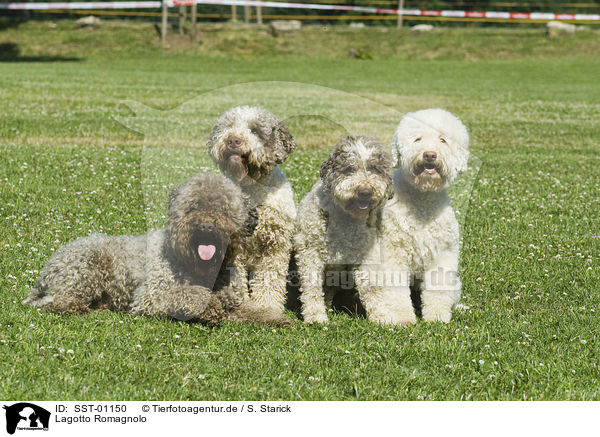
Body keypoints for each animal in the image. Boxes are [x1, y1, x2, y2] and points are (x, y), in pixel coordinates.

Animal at [24, 172, 292, 326]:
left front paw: (275, 319)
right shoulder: (151, 297)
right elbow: (189, 294)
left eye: (224, 209)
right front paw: (209, 306)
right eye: (192, 206)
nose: (206, 226)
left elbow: (255, 311)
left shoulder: (236, 303)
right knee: (53, 302)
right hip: (87, 268)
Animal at [207, 107, 298, 316]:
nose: (233, 140)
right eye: (229, 126)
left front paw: (267, 306)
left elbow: (269, 279)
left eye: (255, 131)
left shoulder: (275, 244)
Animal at [354, 107, 472, 322]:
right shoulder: (392, 256)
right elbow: (395, 292)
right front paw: (402, 319)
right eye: (417, 139)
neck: (421, 199)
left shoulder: (441, 255)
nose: (430, 155)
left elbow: (438, 288)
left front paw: (437, 318)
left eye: (443, 140)